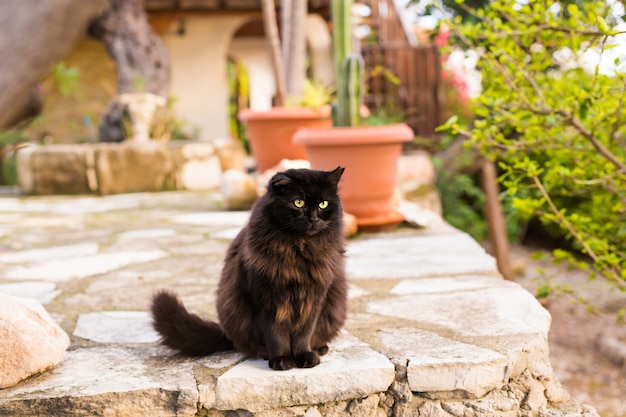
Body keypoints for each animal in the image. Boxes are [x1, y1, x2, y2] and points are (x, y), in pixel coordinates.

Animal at [151, 167, 346, 368]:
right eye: (298, 202)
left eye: (323, 204)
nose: (314, 218)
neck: (298, 249)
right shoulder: (265, 299)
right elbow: (276, 335)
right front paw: (281, 359)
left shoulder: (313, 299)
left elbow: (304, 332)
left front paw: (304, 356)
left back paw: (320, 349)